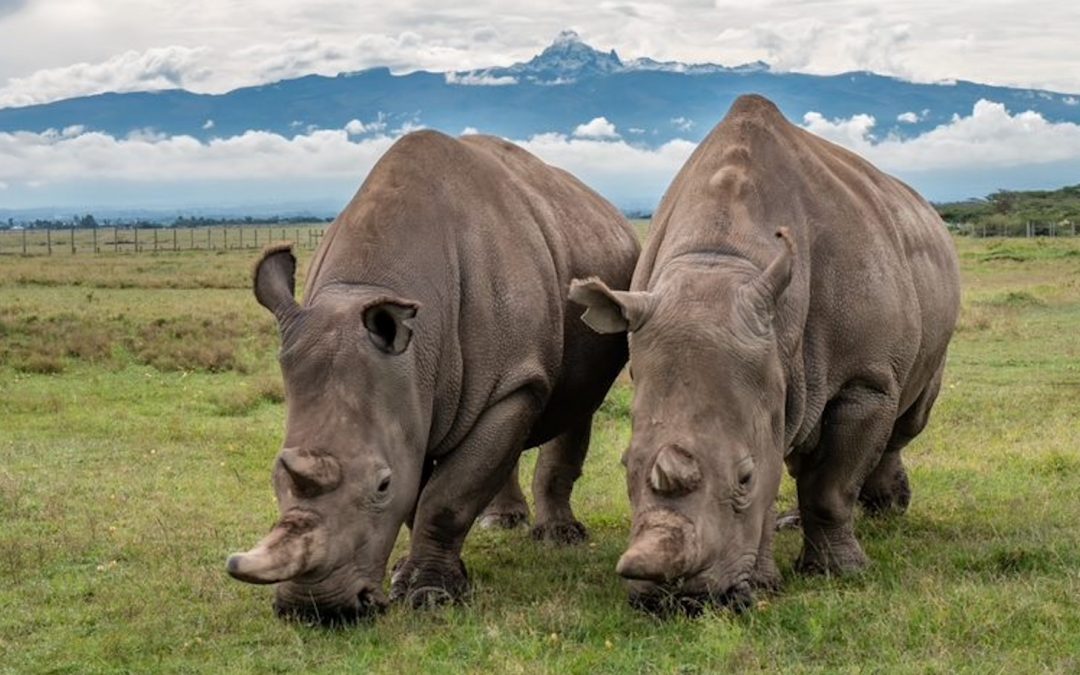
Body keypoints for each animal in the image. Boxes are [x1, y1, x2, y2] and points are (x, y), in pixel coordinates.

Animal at [227, 130, 639, 623]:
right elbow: (423, 489)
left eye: (381, 485)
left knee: (576, 406)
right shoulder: (408, 392)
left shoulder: (511, 382)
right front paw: (410, 576)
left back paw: (559, 539)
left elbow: (446, 495)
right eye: (275, 476)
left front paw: (431, 596)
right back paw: (500, 524)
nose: (316, 609)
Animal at [571, 95, 960, 612]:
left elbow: (830, 486)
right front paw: (764, 583)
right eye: (625, 466)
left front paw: (839, 572)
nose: (677, 600)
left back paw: (886, 511)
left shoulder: (865, 380)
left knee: (906, 420)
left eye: (744, 478)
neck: (720, 260)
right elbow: (783, 460)